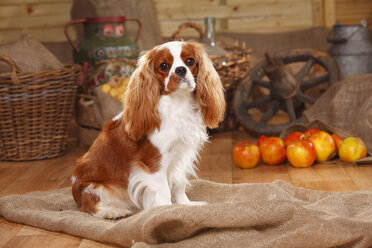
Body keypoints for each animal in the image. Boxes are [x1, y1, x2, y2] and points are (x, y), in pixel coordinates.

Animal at [71, 41, 225, 219]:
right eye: (164, 66)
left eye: (190, 61)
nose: (180, 69)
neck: (178, 104)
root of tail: (75, 193)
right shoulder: (154, 163)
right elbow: (164, 191)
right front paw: (164, 211)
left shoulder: (181, 156)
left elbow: (179, 184)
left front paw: (185, 205)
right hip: (98, 188)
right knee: (89, 207)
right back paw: (113, 211)